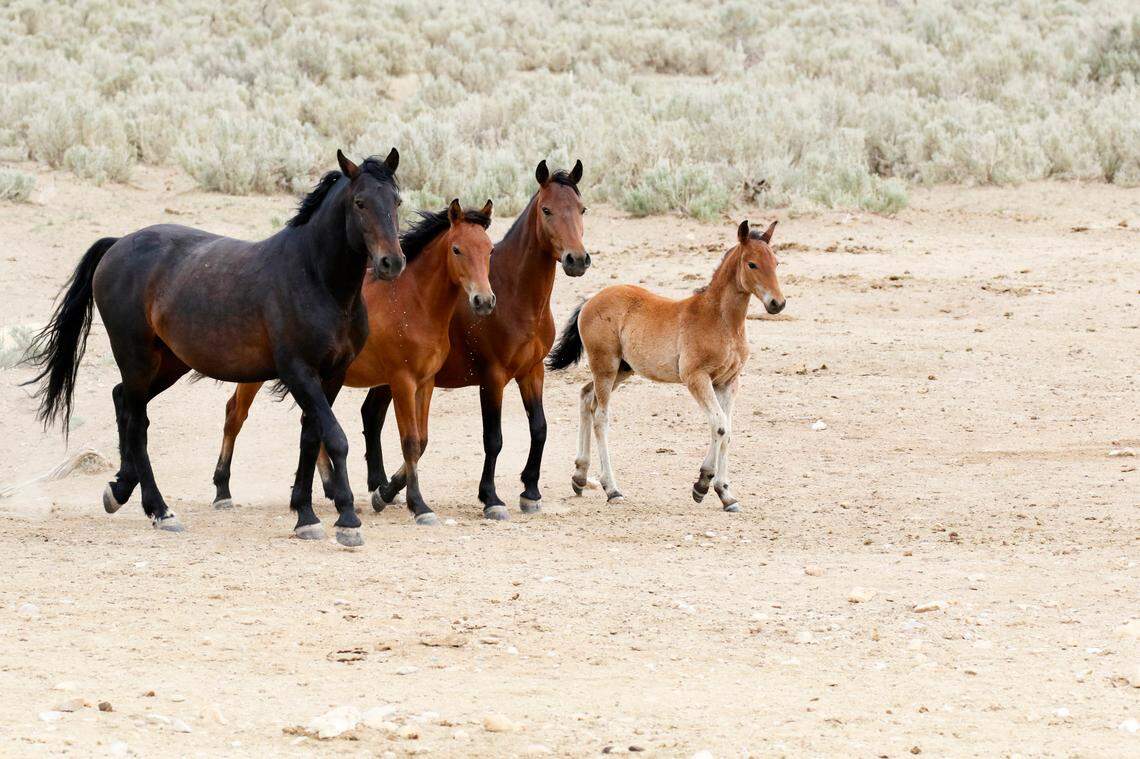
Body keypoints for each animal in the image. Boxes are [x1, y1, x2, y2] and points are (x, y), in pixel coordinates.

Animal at [23, 149, 403, 547]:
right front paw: (346, 520)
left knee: (122, 400)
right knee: (138, 422)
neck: (315, 279)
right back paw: (161, 510)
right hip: (136, 357)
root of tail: (118, 243)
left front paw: (305, 515)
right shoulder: (299, 373)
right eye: (360, 203)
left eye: (396, 200)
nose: (391, 262)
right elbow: (335, 438)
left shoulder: (331, 376)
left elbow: (311, 438)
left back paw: (121, 489)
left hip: (169, 363)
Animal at [210, 199, 496, 525]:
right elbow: (410, 441)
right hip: (258, 376)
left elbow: (422, 441)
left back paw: (330, 489)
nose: (484, 301)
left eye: (490, 250)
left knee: (309, 423)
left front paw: (384, 492)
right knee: (235, 415)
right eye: (457, 249)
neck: (414, 304)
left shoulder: (426, 382)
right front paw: (416, 505)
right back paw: (222, 491)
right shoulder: (402, 381)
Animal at [364, 159, 589, 520]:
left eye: (582, 209)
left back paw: (384, 489)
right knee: (371, 417)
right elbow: (493, 438)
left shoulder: (532, 371)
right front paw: (491, 498)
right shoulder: (493, 377)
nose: (577, 260)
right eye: (547, 210)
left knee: (371, 415)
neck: (514, 295)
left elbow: (539, 427)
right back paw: (380, 488)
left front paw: (530, 491)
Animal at [545, 219, 785, 512]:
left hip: (621, 370)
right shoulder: (696, 378)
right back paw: (612, 489)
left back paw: (580, 476)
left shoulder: (728, 382)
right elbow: (719, 425)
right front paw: (704, 484)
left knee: (585, 396)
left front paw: (722, 492)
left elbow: (726, 430)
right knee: (601, 416)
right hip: (605, 365)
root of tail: (590, 299)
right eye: (752, 264)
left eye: (776, 262)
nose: (777, 303)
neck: (722, 320)